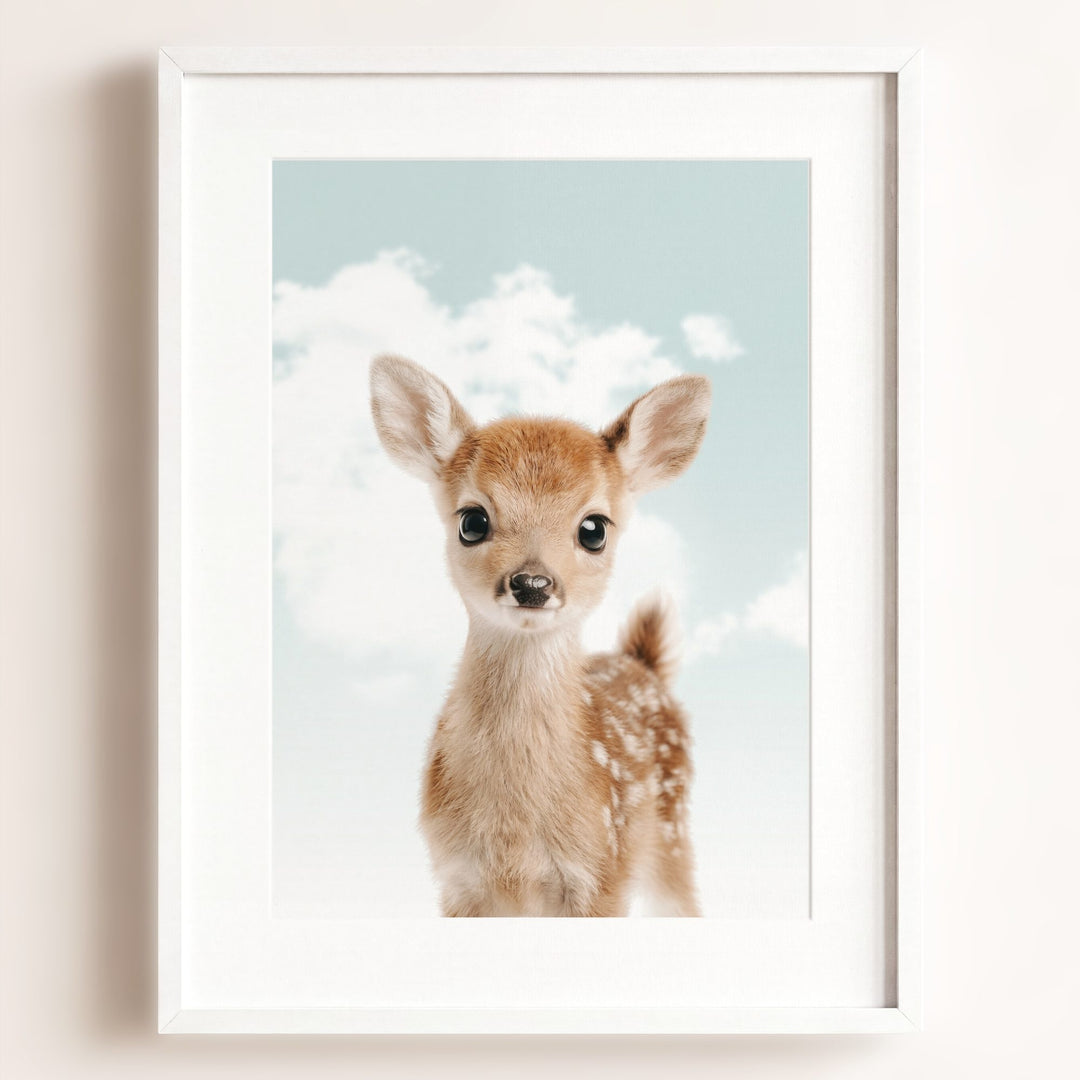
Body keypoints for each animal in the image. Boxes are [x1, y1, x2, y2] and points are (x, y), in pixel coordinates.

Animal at [369, 354, 712, 916]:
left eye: (594, 529)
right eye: (472, 520)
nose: (532, 583)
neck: (515, 836)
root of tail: (643, 663)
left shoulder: (602, 872)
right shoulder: (457, 879)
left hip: (671, 832)